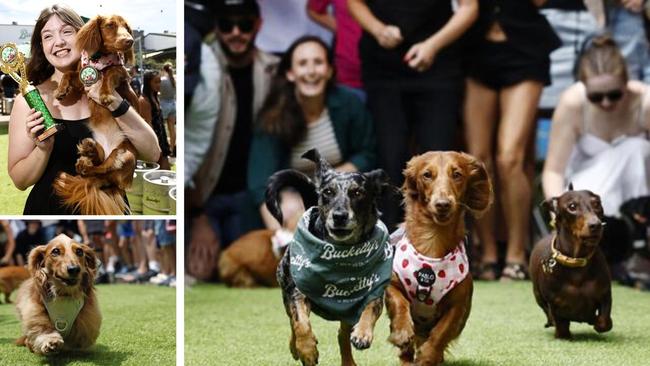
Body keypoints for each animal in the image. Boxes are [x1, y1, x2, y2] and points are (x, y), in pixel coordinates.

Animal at [264, 149, 390, 366]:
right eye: (328, 192)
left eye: (357, 192)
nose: (339, 216)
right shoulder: (296, 291)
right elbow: (300, 323)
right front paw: (307, 350)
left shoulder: (373, 292)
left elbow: (370, 308)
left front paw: (363, 333)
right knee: (292, 322)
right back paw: (295, 346)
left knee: (342, 335)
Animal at [388, 150, 488, 364]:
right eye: (427, 175)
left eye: (457, 174)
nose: (443, 204)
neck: (432, 242)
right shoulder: (392, 284)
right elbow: (400, 303)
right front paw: (402, 332)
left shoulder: (458, 304)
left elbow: (440, 334)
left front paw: (427, 356)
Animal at [528, 186, 612, 340]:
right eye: (572, 207)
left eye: (597, 203)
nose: (596, 225)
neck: (576, 262)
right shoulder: (554, 304)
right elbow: (561, 328)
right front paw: (563, 332)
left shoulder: (605, 295)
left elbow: (604, 322)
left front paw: (595, 320)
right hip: (537, 295)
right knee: (546, 311)